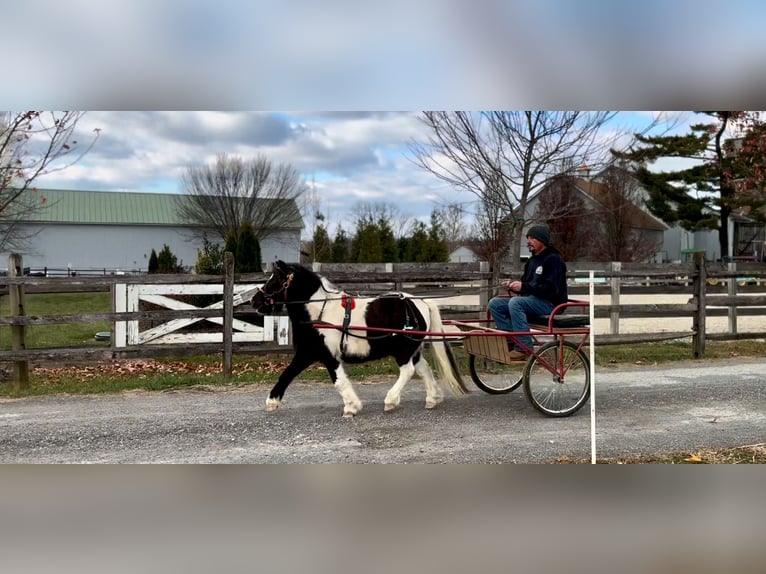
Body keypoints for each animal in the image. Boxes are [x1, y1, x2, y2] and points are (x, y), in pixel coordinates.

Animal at [250, 260, 468, 418]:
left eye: (275, 280)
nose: (254, 301)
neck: (318, 312)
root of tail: (419, 302)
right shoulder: (307, 353)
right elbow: (287, 374)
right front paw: (272, 402)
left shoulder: (327, 355)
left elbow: (337, 381)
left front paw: (351, 407)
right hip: (411, 349)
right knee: (423, 368)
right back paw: (432, 398)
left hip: (403, 350)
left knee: (408, 371)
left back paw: (391, 401)